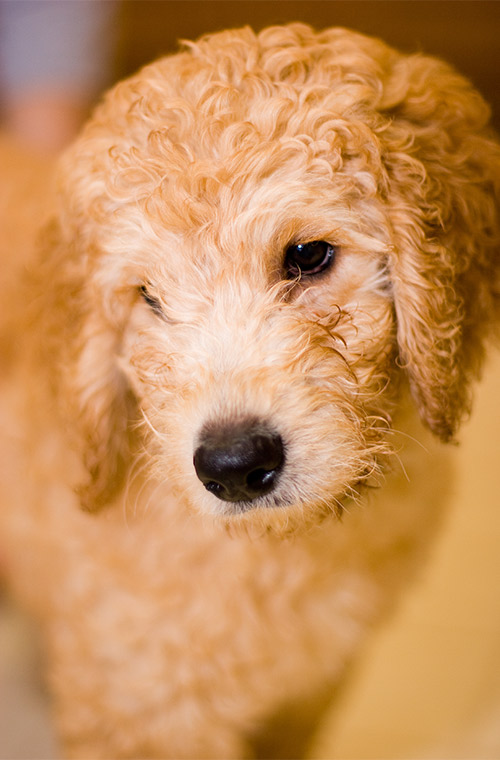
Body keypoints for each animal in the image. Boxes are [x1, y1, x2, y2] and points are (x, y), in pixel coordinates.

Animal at [0, 23, 498, 760]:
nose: (233, 465)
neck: (280, 550)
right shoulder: (141, 704)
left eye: (309, 256)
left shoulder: (309, 691)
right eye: (148, 296)